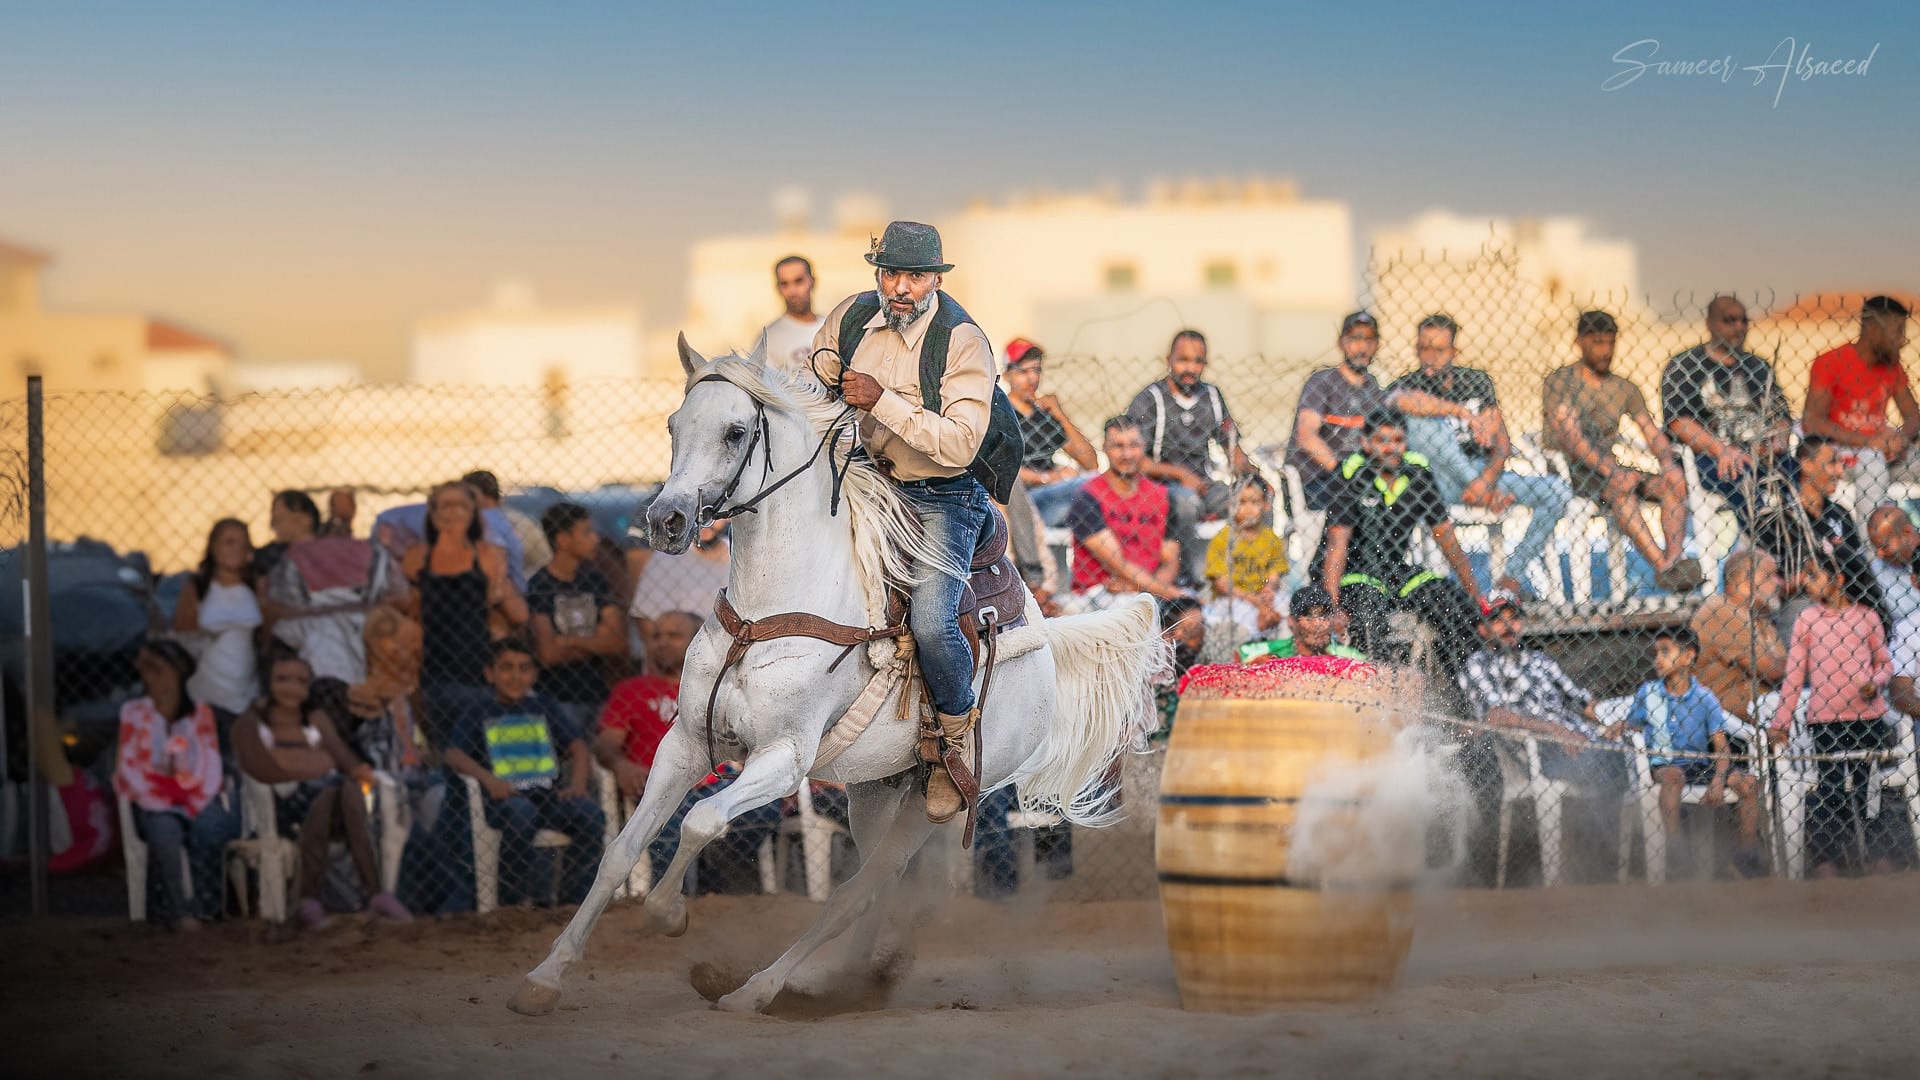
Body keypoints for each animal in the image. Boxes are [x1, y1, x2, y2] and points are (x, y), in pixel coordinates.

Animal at [510, 340, 1159, 1014]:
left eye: (735, 431)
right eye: (672, 425)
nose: (666, 519)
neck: (766, 613)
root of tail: (1042, 636)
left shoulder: (782, 758)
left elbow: (702, 820)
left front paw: (667, 912)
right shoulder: (686, 745)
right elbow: (619, 853)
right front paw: (545, 977)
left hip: (937, 803)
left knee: (859, 889)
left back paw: (759, 989)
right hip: (875, 790)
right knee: (870, 888)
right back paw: (834, 980)